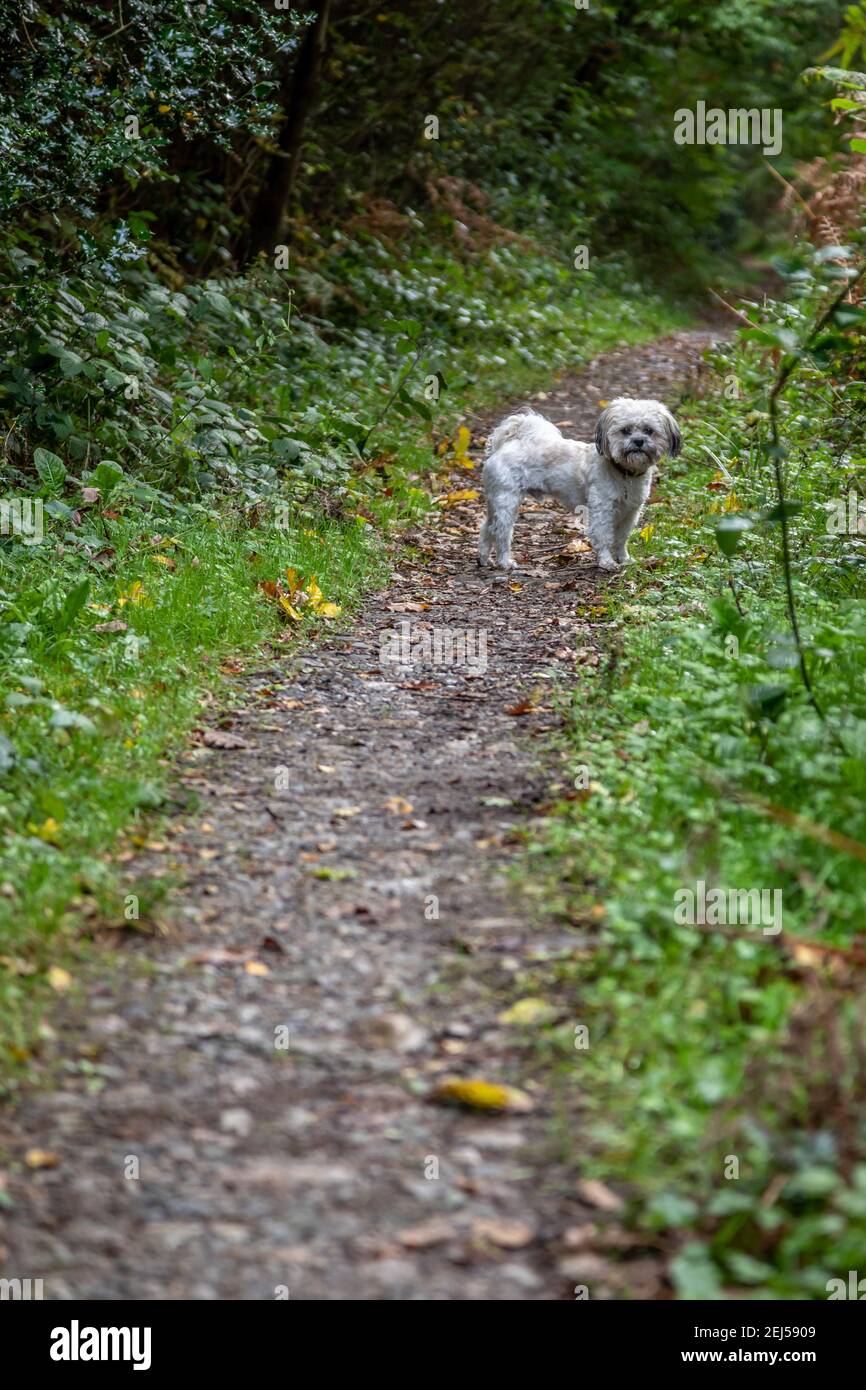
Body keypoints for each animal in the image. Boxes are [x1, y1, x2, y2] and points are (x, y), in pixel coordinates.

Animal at [478, 400, 681, 572]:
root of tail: (503, 446)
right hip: (507, 500)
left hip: (495, 501)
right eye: (625, 430)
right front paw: (607, 562)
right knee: (501, 532)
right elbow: (604, 536)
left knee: (487, 528)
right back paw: (504, 562)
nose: (638, 441)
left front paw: (624, 559)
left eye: (649, 430)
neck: (623, 472)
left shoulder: (630, 512)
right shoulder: (602, 510)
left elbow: (622, 538)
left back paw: (483, 559)